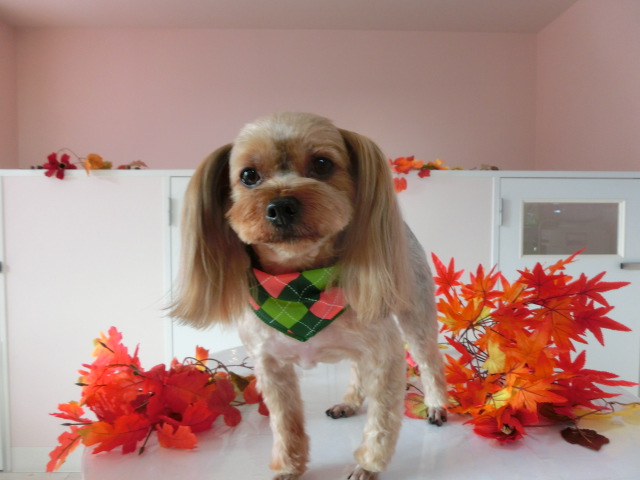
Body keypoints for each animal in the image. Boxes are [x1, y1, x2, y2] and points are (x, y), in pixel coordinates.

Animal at [170, 112, 448, 480]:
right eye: (248, 175)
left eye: (322, 164)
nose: (281, 206)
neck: (297, 287)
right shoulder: (270, 365)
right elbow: (285, 422)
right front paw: (289, 467)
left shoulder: (384, 354)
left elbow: (383, 421)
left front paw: (368, 465)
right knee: (357, 368)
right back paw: (349, 401)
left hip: (415, 309)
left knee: (428, 358)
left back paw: (436, 404)